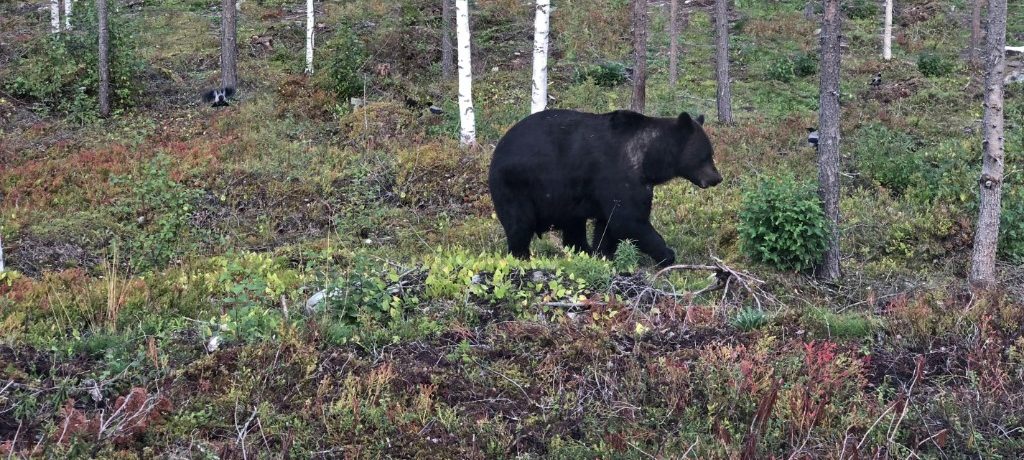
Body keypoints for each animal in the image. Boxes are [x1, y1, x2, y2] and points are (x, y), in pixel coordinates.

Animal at [485, 108, 720, 266]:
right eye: (706, 155)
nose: (717, 178)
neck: (649, 159)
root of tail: (497, 149)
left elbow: (608, 225)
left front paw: (603, 254)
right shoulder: (619, 175)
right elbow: (629, 220)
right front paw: (667, 254)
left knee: (573, 228)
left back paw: (584, 251)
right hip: (515, 185)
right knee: (519, 224)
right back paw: (521, 257)